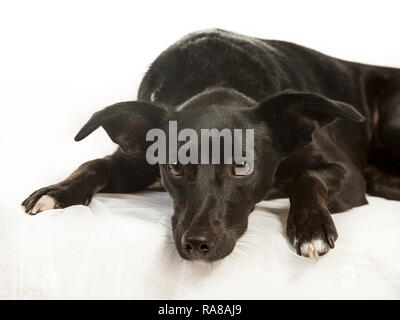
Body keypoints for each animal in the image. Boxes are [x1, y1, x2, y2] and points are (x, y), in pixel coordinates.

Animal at [21, 28, 400, 262]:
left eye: (242, 166)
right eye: (175, 166)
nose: (197, 245)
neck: (216, 78)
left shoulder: (347, 175)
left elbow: (307, 177)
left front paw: (311, 228)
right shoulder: (136, 164)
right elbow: (95, 164)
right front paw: (57, 190)